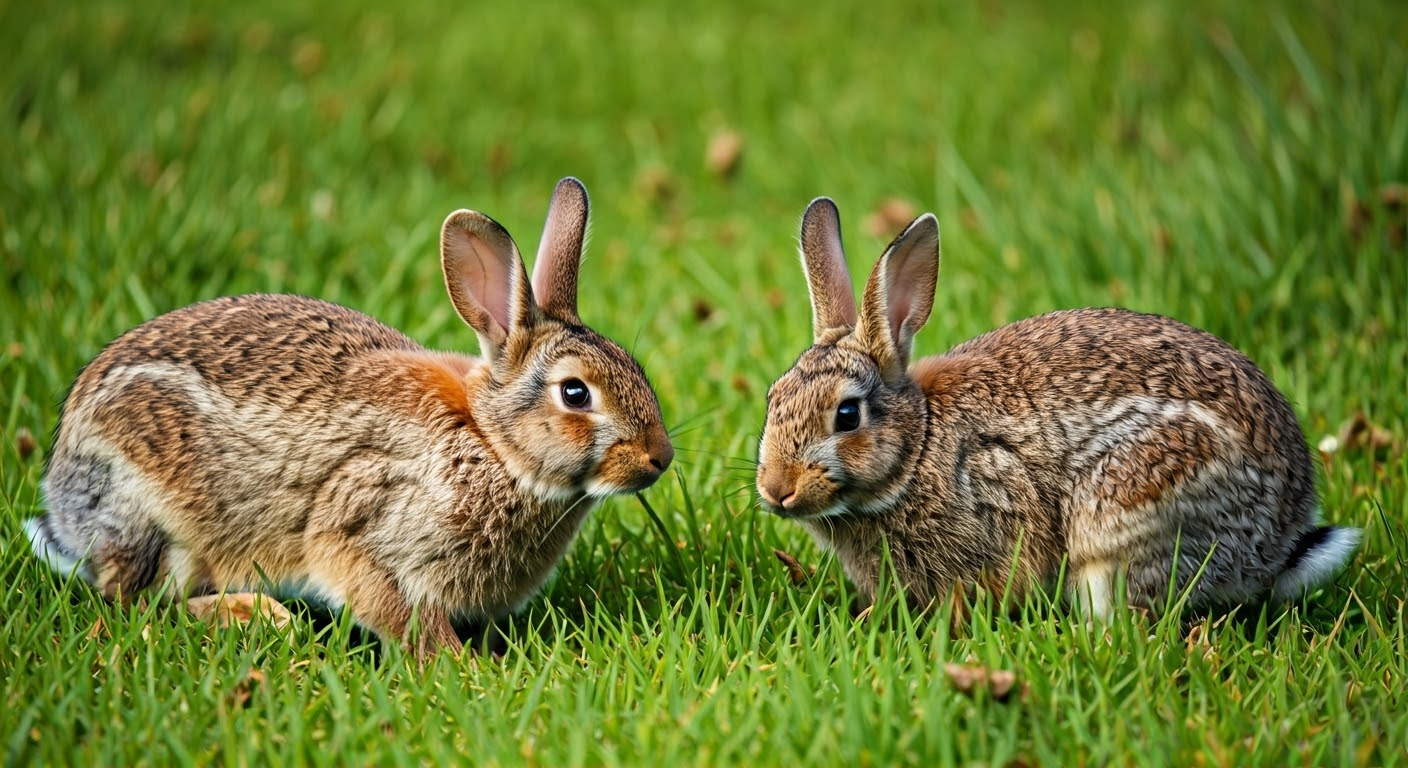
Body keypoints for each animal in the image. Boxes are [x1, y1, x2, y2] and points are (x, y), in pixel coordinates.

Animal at [26, 176, 675, 656]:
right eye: (575, 393)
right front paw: (459, 669)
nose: (660, 458)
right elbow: (395, 609)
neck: (492, 443)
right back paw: (257, 617)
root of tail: (62, 505)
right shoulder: (357, 524)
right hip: (157, 517)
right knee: (136, 600)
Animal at [760, 198, 1362, 622]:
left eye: (847, 416)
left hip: (1133, 509)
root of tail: (1278, 540)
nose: (775, 490)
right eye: (772, 398)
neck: (917, 446)